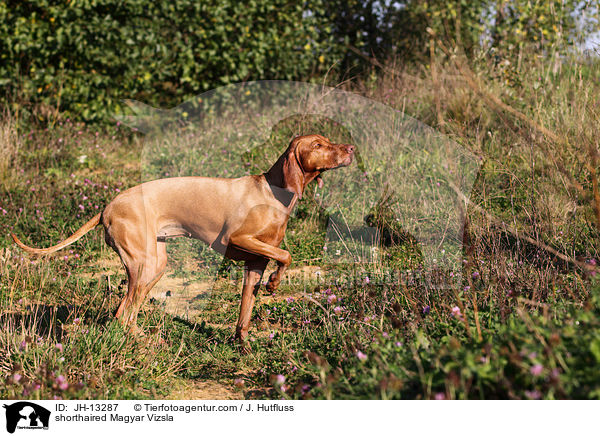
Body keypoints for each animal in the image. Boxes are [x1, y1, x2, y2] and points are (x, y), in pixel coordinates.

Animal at [11, 135, 354, 342]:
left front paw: (242, 344)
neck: (273, 193)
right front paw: (274, 284)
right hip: (144, 264)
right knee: (123, 313)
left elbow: (245, 311)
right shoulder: (237, 239)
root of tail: (107, 206)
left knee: (124, 311)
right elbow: (286, 255)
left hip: (154, 265)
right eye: (319, 144)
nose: (351, 149)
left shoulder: (255, 263)